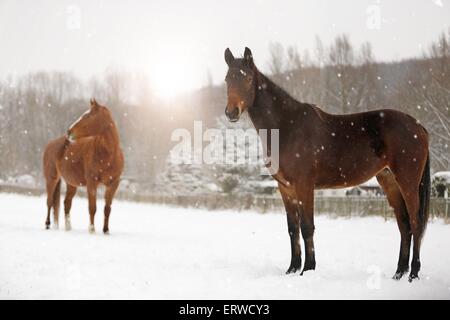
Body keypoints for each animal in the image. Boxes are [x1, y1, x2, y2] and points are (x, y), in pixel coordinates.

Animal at [43, 99, 124, 234]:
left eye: (87, 116)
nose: (69, 131)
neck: (109, 154)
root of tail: (50, 144)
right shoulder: (92, 182)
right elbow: (92, 207)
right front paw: (91, 230)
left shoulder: (113, 184)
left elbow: (107, 208)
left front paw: (106, 230)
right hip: (51, 179)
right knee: (49, 202)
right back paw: (47, 224)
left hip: (71, 184)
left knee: (66, 203)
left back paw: (68, 228)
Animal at [223, 46, 430, 282]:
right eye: (227, 79)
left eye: (247, 78)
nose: (231, 112)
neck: (287, 126)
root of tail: (418, 126)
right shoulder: (285, 188)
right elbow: (293, 229)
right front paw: (292, 269)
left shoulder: (304, 186)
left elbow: (307, 227)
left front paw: (308, 269)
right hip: (389, 181)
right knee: (404, 226)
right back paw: (398, 273)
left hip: (408, 182)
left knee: (415, 223)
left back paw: (413, 273)